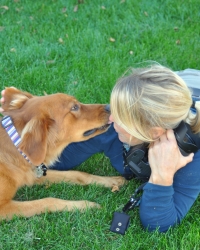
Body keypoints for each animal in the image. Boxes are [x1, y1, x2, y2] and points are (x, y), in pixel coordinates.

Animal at [0, 87, 125, 220]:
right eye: (74, 107)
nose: (110, 106)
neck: (16, 148)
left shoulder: (34, 174)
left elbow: (78, 174)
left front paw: (112, 181)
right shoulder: (3, 207)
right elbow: (48, 201)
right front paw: (85, 206)